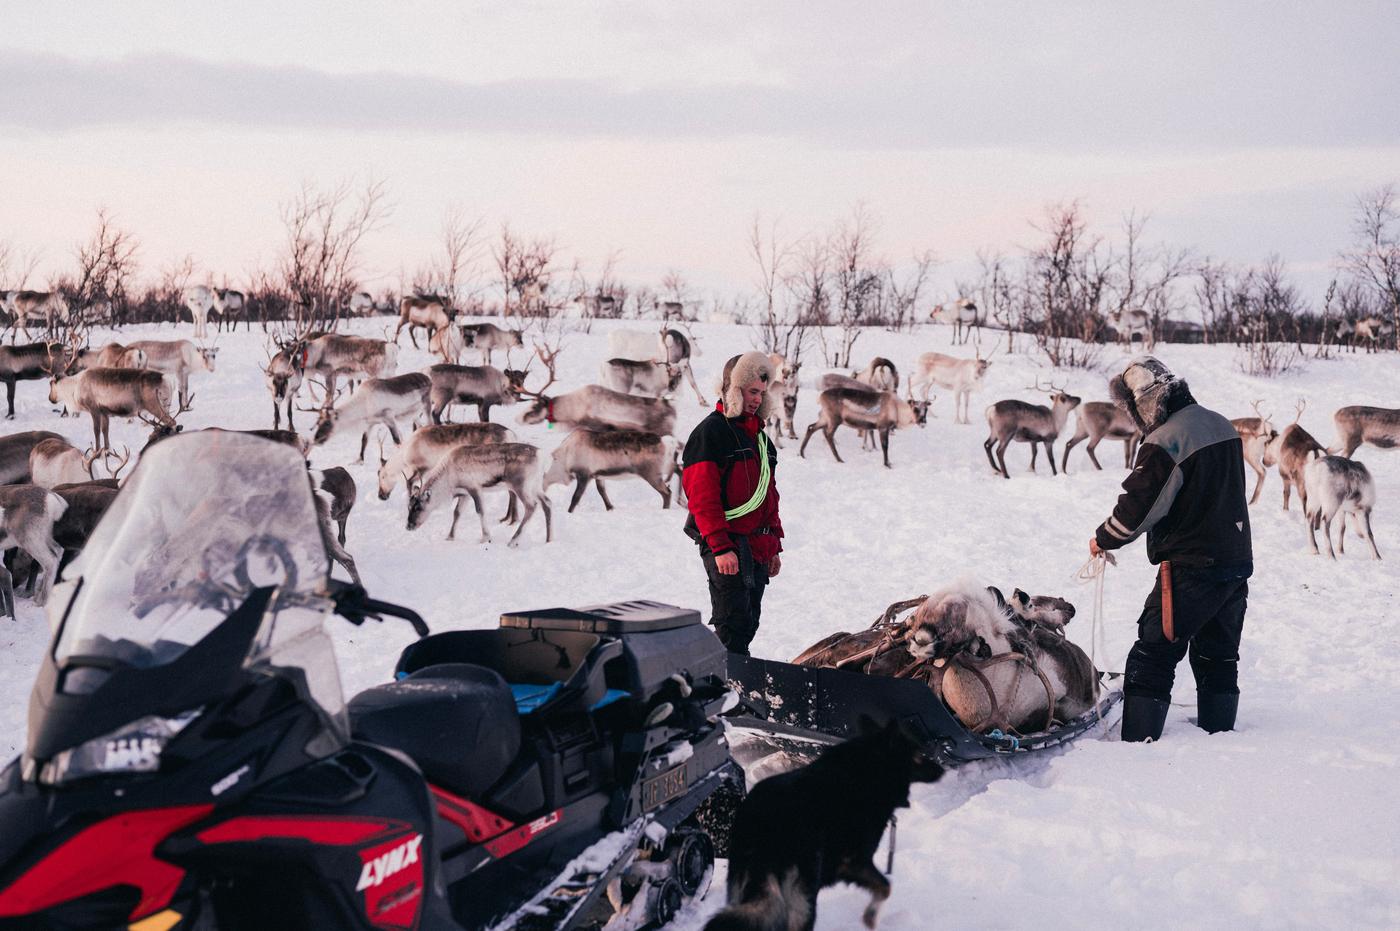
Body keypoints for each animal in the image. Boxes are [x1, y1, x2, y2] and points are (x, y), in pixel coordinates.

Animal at [711, 716, 940, 929]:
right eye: (918, 755)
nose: (942, 770)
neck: (865, 772)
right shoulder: (854, 861)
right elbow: (885, 886)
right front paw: (871, 917)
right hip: (804, 898)